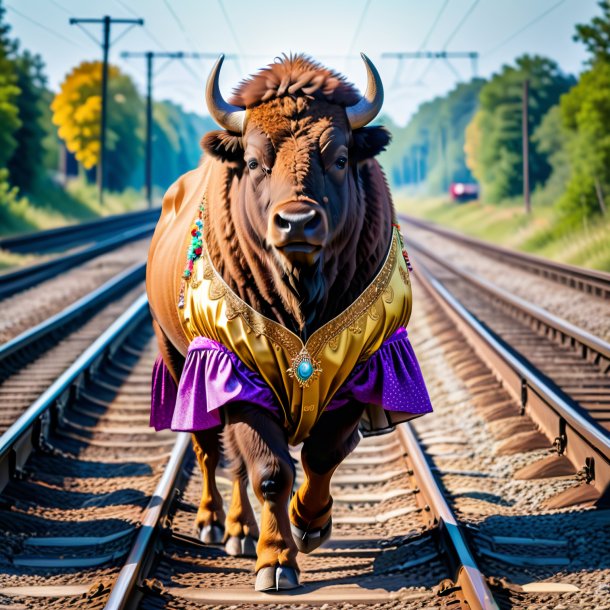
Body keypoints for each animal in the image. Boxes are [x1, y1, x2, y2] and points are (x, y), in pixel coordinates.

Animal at [146, 54, 432, 592]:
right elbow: (269, 470)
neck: (301, 296)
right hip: (176, 360)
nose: (297, 222)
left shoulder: (364, 367)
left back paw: (242, 529)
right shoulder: (233, 371)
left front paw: (308, 524)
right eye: (255, 161)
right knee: (210, 451)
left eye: (339, 158)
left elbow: (323, 453)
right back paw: (220, 525)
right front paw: (275, 560)